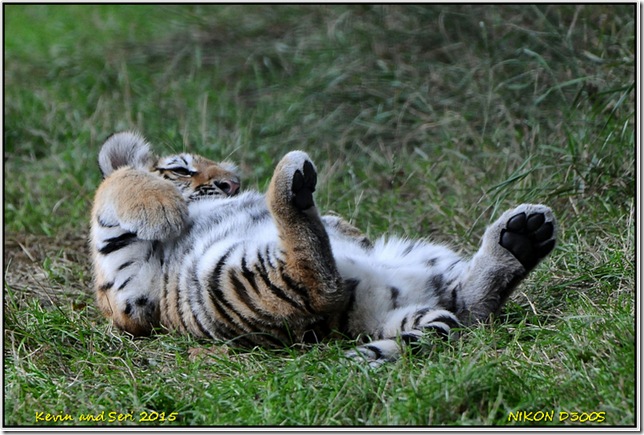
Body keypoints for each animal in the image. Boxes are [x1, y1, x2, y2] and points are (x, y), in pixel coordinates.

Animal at [90, 131, 560, 366]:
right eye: (183, 169)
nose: (233, 184)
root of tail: (360, 318)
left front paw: (346, 227)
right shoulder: (129, 297)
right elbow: (113, 186)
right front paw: (163, 209)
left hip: (424, 263)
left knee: (471, 307)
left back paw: (521, 237)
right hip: (230, 277)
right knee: (314, 280)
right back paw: (290, 183)